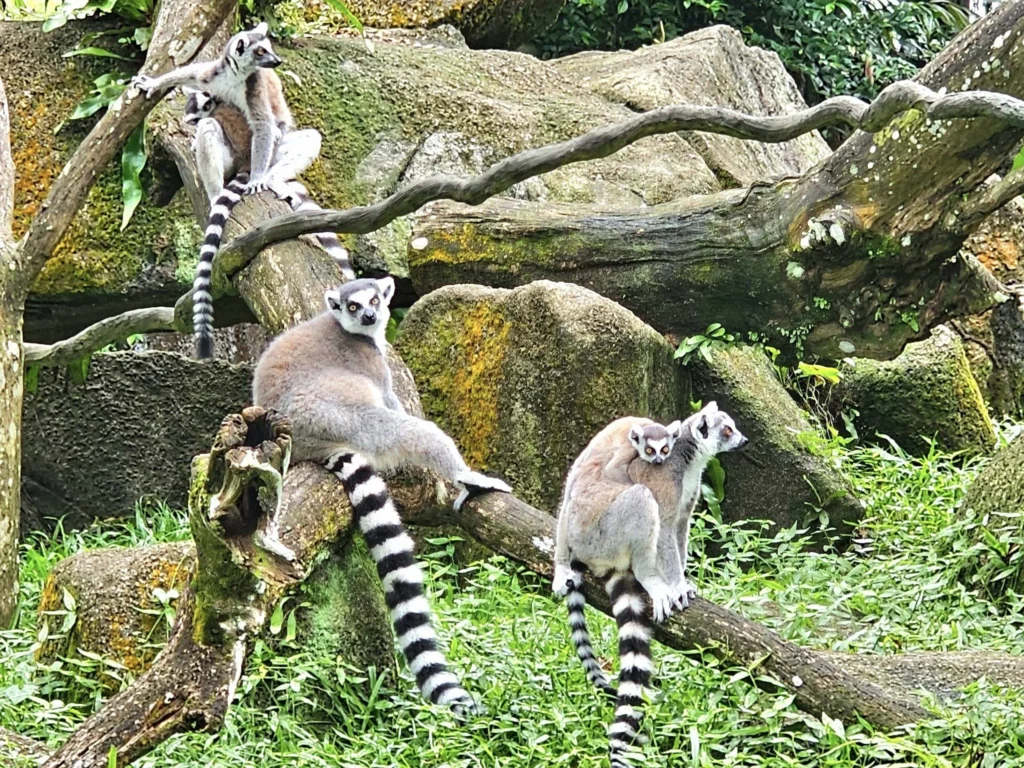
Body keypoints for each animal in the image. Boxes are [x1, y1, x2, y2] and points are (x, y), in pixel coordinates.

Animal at [252, 277, 512, 713]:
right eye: (354, 307)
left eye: (374, 299)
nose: (371, 316)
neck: (358, 335)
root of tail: (302, 445)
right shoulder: (371, 364)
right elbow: (394, 402)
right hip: (336, 415)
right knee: (404, 431)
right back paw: (465, 475)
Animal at [552, 403, 748, 768]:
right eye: (727, 430)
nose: (744, 440)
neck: (687, 458)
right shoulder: (664, 483)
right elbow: (666, 529)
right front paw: (676, 586)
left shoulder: (687, 496)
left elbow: (681, 530)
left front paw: (685, 580)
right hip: (602, 535)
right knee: (642, 502)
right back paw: (648, 578)